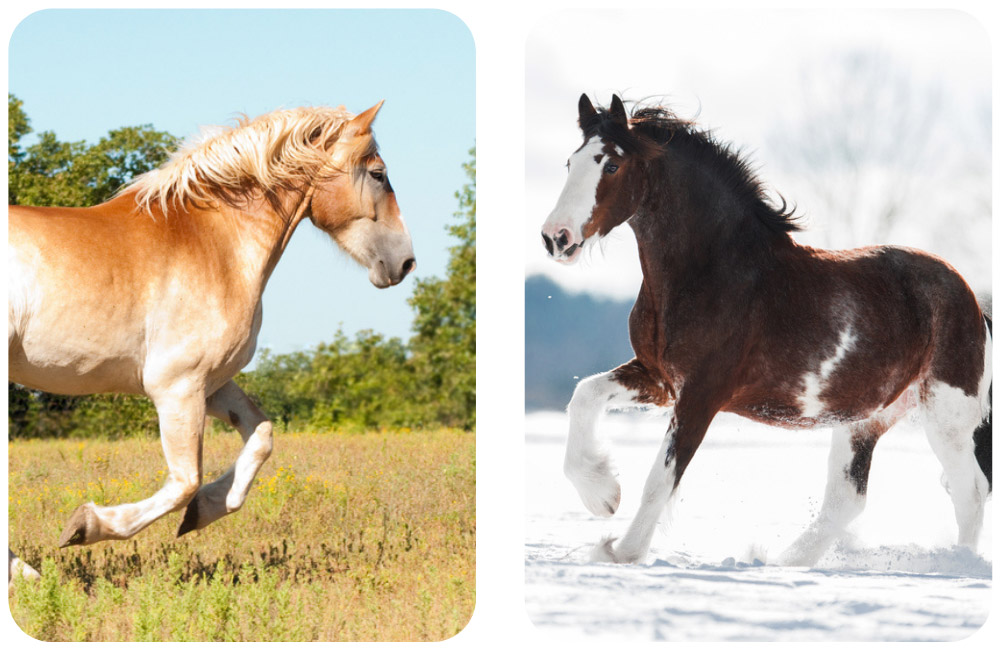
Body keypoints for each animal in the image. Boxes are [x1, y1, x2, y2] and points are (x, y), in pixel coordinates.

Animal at [8, 98, 414, 576]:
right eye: (378, 174)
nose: (405, 262)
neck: (215, 243)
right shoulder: (176, 387)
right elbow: (184, 481)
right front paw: (86, 526)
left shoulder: (212, 383)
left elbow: (261, 436)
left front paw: (204, 511)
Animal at [544, 93, 988, 564]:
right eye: (570, 162)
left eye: (611, 165)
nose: (556, 237)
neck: (714, 270)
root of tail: (972, 302)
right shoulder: (661, 379)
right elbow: (585, 395)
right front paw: (602, 495)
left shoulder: (702, 394)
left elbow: (660, 480)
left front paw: (621, 551)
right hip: (866, 418)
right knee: (847, 499)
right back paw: (786, 563)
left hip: (946, 415)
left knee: (970, 492)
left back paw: (959, 564)